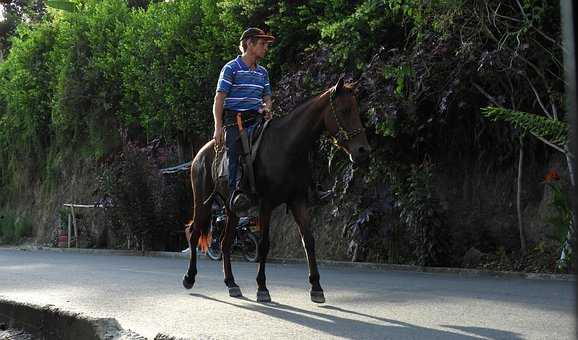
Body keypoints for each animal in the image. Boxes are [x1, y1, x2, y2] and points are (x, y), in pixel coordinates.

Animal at [182, 77, 368, 302]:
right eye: (345, 110)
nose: (363, 151)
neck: (287, 146)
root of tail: (200, 154)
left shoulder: (298, 201)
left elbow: (309, 240)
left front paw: (316, 287)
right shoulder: (266, 204)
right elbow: (263, 245)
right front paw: (262, 288)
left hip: (231, 208)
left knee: (225, 242)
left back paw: (231, 284)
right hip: (203, 202)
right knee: (194, 233)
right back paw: (189, 278)